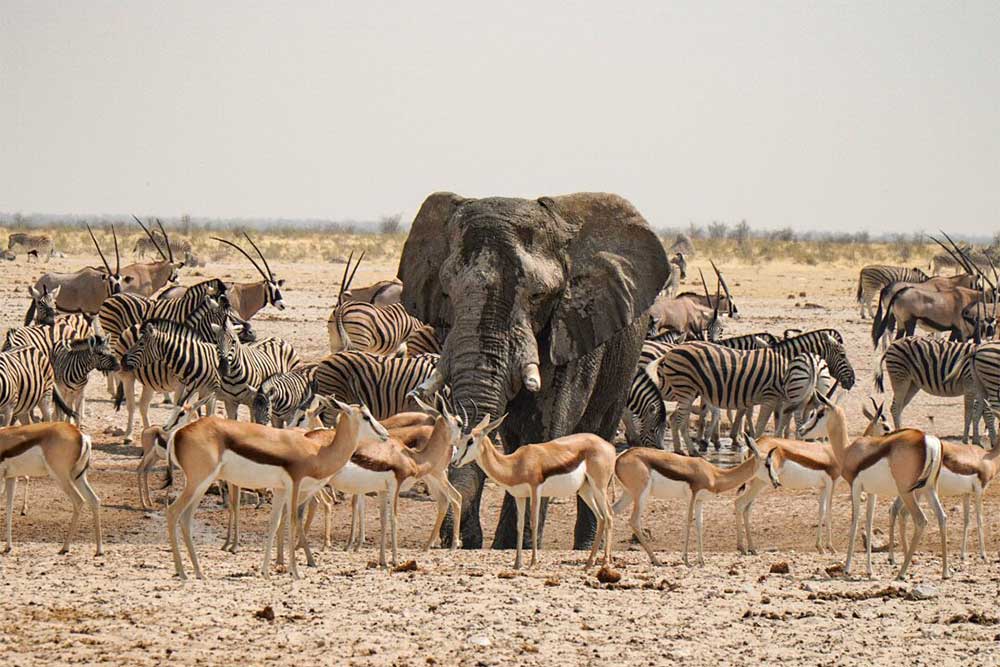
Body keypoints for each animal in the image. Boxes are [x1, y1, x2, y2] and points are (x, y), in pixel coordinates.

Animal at [394, 192, 668, 548]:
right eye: (447, 293)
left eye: (537, 295)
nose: (463, 539)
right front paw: (497, 545)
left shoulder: (575, 325)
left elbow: (545, 428)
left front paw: (517, 546)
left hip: (624, 360)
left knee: (600, 429)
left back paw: (581, 547)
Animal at [660, 334, 856, 454]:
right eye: (843, 354)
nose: (852, 381)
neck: (785, 363)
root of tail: (672, 350)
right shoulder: (771, 397)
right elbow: (764, 423)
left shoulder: (780, 399)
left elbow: (778, 421)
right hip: (685, 388)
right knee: (679, 419)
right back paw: (690, 450)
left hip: (688, 390)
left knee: (677, 418)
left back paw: (682, 449)